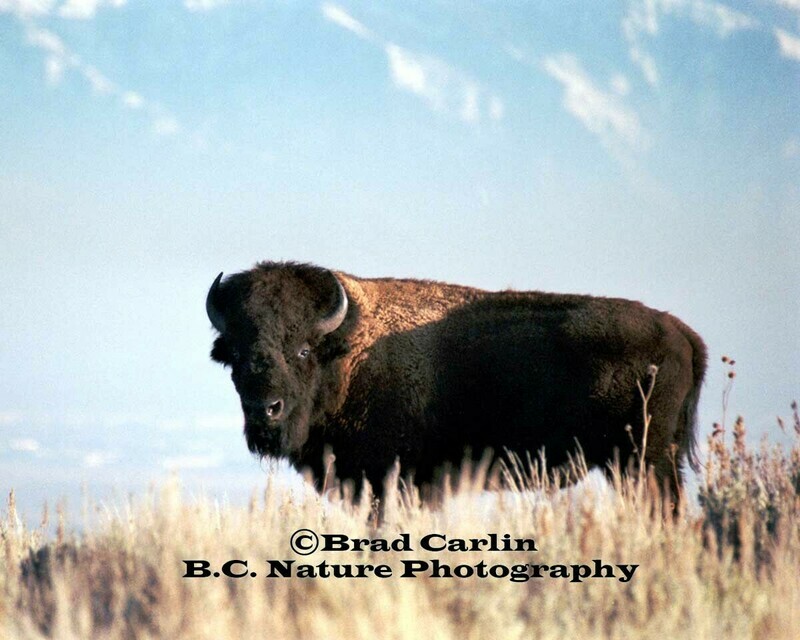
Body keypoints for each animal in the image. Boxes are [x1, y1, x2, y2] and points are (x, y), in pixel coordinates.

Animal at [206, 261, 706, 502]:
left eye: (303, 350)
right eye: (235, 355)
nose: (264, 410)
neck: (348, 352)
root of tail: (681, 332)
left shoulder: (391, 480)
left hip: (645, 462)